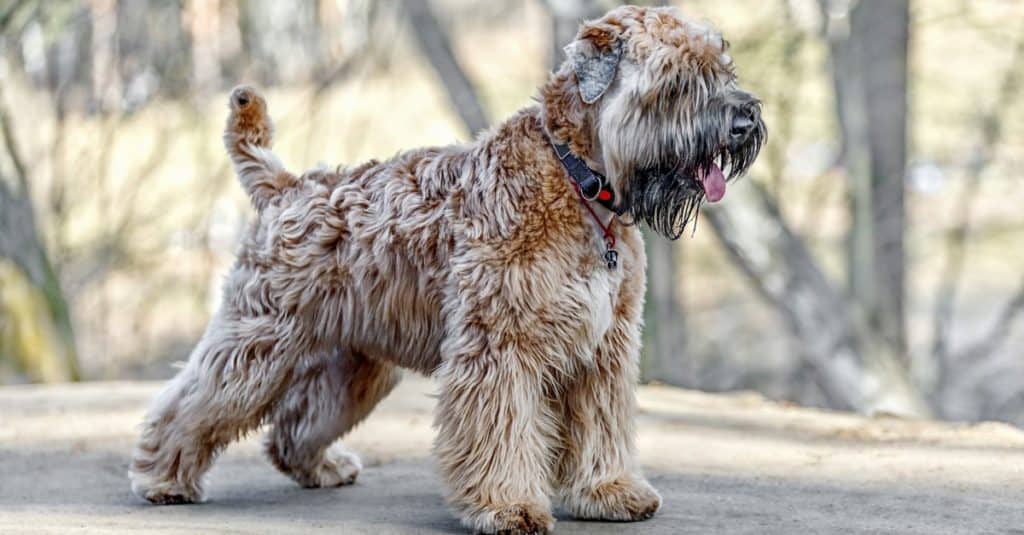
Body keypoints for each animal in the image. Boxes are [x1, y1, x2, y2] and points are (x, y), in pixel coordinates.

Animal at [130, 5, 761, 532]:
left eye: (721, 68)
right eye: (676, 79)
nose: (746, 121)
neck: (578, 181)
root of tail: (286, 186)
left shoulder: (603, 349)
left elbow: (600, 427)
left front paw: (608, 492)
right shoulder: (500, 346)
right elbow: (501, 433)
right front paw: (507, 507)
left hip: (354, 364)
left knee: (295, 425)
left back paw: (322, 467)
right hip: (257, 343)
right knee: (193, 403)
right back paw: (161, 477)